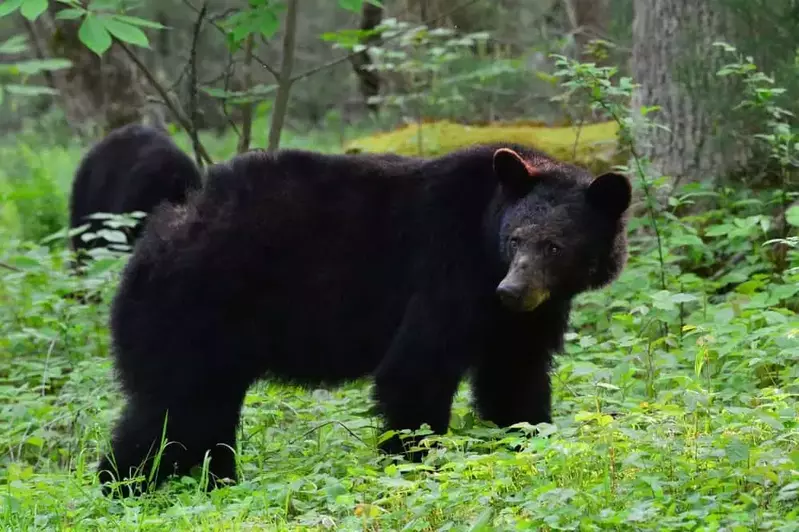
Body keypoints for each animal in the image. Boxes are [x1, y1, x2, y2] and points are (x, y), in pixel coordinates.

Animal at [98, 143, 632, 496]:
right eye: (515, 238)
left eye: (555, 246)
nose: (513, 291)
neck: (485, 239)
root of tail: (152, 240)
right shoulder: (447, 272)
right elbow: (416, 371)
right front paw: (414, 470)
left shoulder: (525, 319)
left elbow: (515, 380)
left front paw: (528, 447)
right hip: (188, 313)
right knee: (168, 412)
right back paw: (121, 485)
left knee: (205, 414)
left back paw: (216, 482)